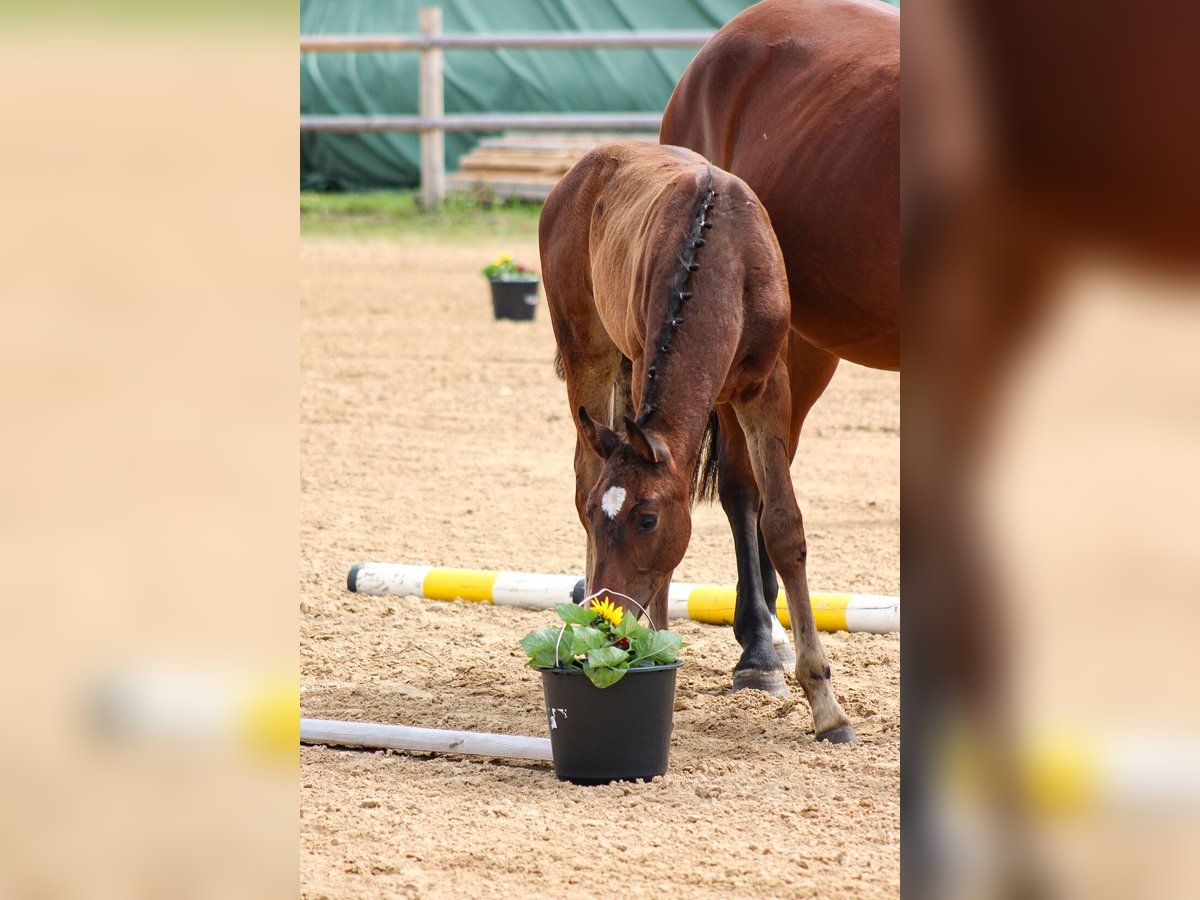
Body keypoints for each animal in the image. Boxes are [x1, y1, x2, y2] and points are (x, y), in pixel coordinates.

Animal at [540, 141, 859, 744]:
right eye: (599, 515)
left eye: (647, 520)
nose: (604, 614)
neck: (725, 261)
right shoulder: (646, 364)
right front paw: (653, 653)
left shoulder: (767, 389)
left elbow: (782, 526)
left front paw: (828, 708)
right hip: (588, 352)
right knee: (582, 471)